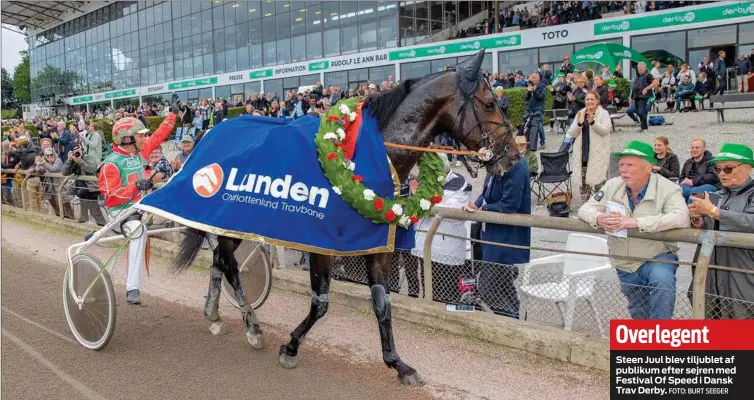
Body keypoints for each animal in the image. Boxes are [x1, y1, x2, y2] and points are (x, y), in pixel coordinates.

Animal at [175, 49, 516, 384]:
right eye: (489, 104)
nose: (511, 155)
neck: (368, 159)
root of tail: (213, 131)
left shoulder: (377, 245)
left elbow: (382, 302)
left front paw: (398, 364)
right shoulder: (322, 246)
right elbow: (321, 303)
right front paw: (291, 347)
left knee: (219, 259)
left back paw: (214, 314)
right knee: (230, 264)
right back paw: (252, 327)